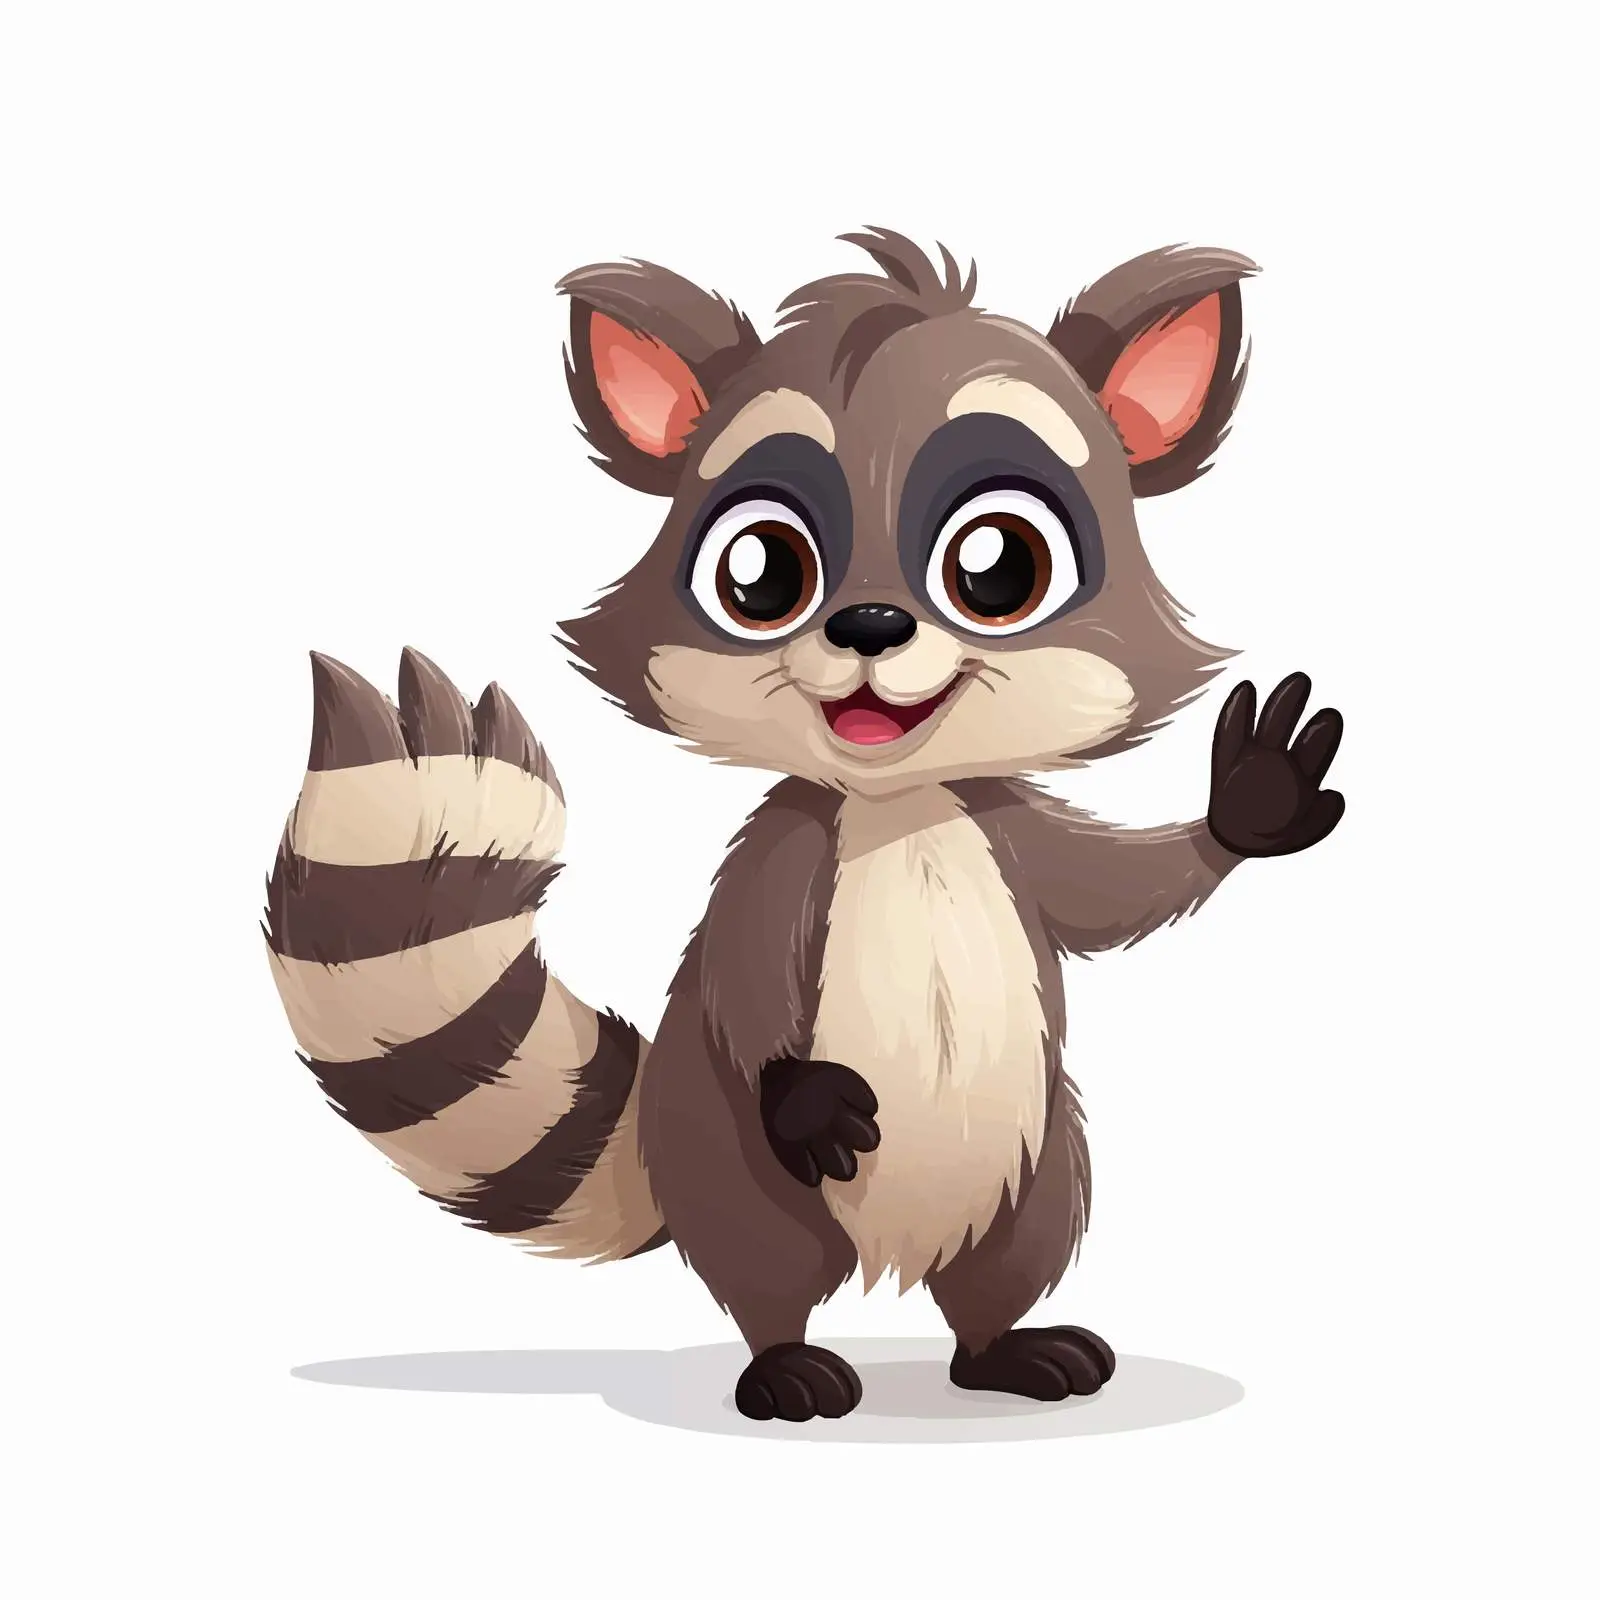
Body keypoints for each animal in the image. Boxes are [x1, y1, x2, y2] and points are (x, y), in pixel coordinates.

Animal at [264, 228, 1345, 1422]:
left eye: (999, 565)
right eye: (763, 570)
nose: (868, 624)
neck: (897, 804)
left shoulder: (1007, 832)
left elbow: (1112, 891)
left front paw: (1248, 803)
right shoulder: (782, 856)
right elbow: (739, 982)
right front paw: (802, 1093)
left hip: (1037, 1167)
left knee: (1007, 1258)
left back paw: (1006, 1350)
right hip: (741, 1176)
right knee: (766, 1268)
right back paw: (786, 1364)